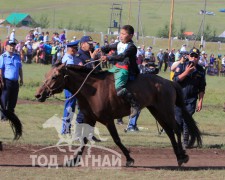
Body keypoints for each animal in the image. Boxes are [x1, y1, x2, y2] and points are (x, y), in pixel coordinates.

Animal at [35, 63, 202, 166]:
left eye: (54, 76)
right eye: (46, 75)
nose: (38, 95)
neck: (92, 90)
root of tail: (169, 82)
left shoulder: (108, 120)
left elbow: (116, 139)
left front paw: (129, 158)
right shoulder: (89, 118)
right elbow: (84, 139)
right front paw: (74, 160)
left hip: (166, 111)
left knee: (177, 129)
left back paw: (182, 156)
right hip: (157, 112)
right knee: (169, 131)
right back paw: (178, 155)